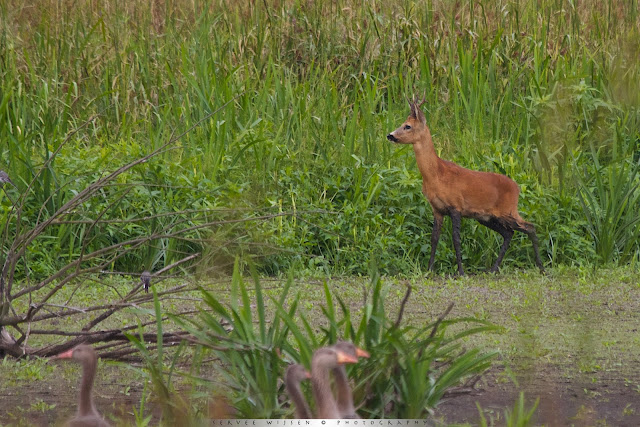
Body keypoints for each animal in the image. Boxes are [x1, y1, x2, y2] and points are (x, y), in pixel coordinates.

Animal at [388, 97, 544, 276]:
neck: (436, 175)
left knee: (530, 227)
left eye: (407, 126)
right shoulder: (437, 209)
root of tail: (517, 188)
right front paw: (429, 269)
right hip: (487, 217)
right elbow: (434, 239)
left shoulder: (456, 206)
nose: (390, 135)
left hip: (508, 210)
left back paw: (541, 267)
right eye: (403, 123)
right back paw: (493, 269)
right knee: (509, 233)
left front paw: (460, 272)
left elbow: (456, 239)